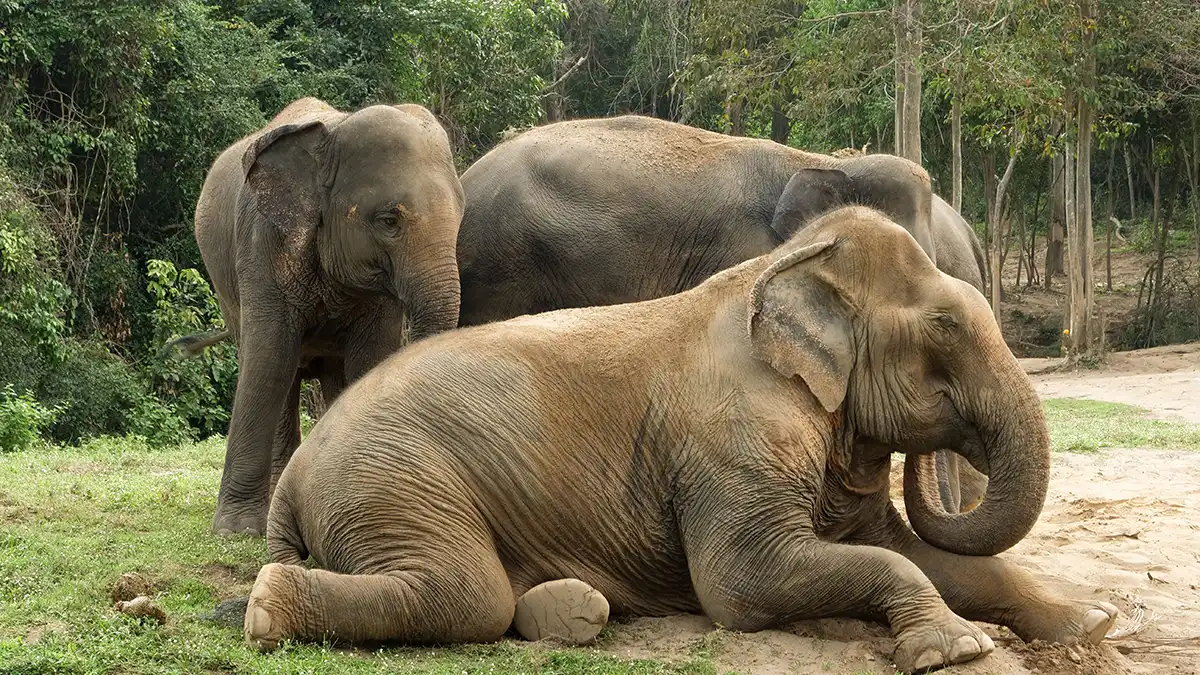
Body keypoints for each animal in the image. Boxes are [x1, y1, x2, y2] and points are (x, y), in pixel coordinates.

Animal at [172, 96, 465, 537]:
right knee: (281, 371)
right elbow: (268, 362)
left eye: (462, 215)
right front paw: (236, 531)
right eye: (389, 220)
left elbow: (369, 362)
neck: (333, 133)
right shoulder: (262, 244)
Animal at [243, 206, 1117, 673]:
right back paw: (267, 606)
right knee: (467, 591)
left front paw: (1093, 622)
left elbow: (920, 553)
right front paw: (953, 649)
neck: (781, 267)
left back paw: (575, 611)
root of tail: (303, 467)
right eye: (944, 326)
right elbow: (745, 582)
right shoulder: (733, 441)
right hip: (391, 479)